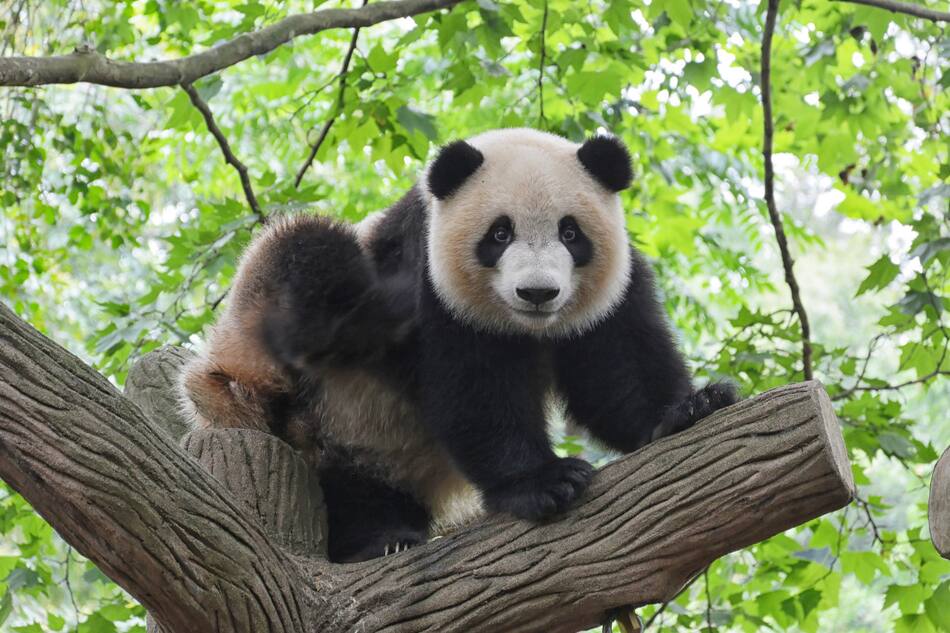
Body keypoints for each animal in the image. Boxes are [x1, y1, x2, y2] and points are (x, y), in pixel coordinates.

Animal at [179, 128, 738, 563]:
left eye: (571, 232)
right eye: (499, 234)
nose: (538, 293)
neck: (527, 328)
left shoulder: (609, 294)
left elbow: (616, 371)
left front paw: (689, 408)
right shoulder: (432, 286)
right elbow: (474, 391)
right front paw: (545, 481)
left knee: (360, 485)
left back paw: (386, 531)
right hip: (277, 368)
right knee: (306, 250)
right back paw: (377, 542)